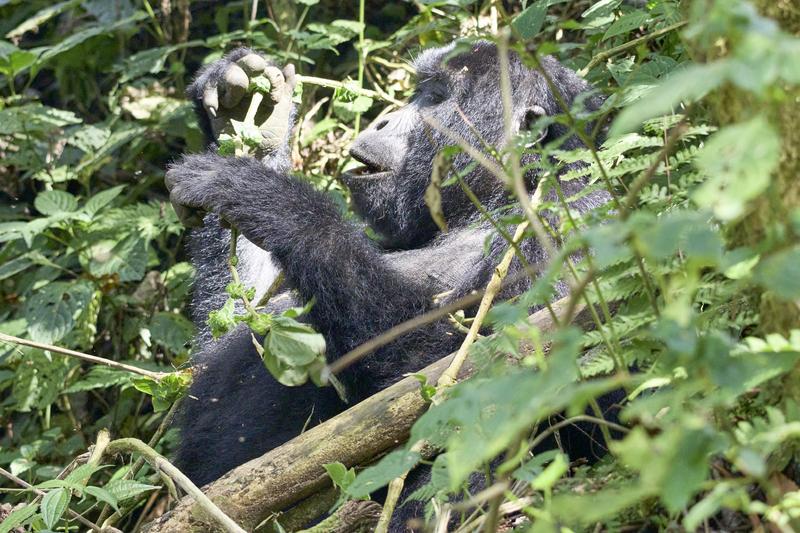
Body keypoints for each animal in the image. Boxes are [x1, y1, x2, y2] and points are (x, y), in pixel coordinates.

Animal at [166, 40, 608, 528]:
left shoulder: (567, 221)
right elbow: (236, 325)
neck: (502, 195)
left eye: (435, 96)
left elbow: (452, 374)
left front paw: (272, 200)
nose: (382, 119)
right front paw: (250, 121)